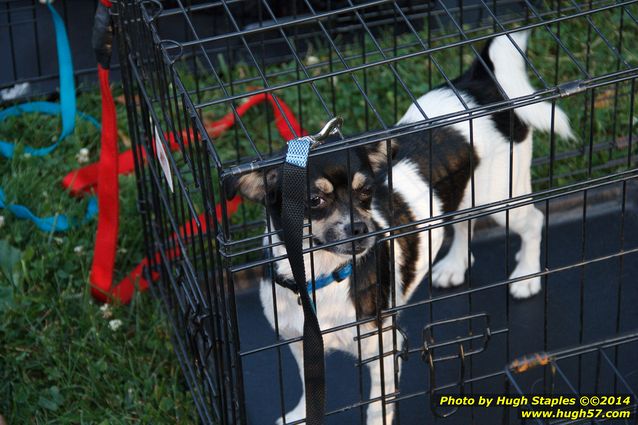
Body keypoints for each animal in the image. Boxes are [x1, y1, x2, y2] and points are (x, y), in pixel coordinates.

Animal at [230, 30, 576, 424]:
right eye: (314, 200)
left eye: (367, 191)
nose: (361, 229)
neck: (323, 275)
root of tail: (478, 84)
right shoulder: (301, 344)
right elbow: (309, 384)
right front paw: (301, 415)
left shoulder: (382, 348)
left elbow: (377, 405)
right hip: (464, 196)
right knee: (463, 225)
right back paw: (455, 265)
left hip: (503, 198)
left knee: (533, 221)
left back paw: (527, 275)